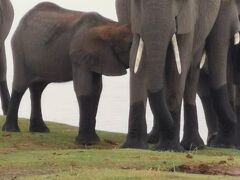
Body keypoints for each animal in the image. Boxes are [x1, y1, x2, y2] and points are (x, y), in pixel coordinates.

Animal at [1, 1, 132, 145]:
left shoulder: (96, 57)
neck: (110, 26)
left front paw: (92, 142)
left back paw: (40, 130)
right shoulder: (79, 54)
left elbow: (96, 89)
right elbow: (84, 89)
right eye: (131, 44)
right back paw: (11, 130)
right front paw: (86, 143)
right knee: (20, 86)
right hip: (19, 50)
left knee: (37, 89)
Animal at [116, 0, 240, 151]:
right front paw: (134, 146)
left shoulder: (189, 17)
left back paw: (195, 145)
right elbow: (137, 59)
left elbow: (178, 65)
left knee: (192, 73)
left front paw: (168, 148)